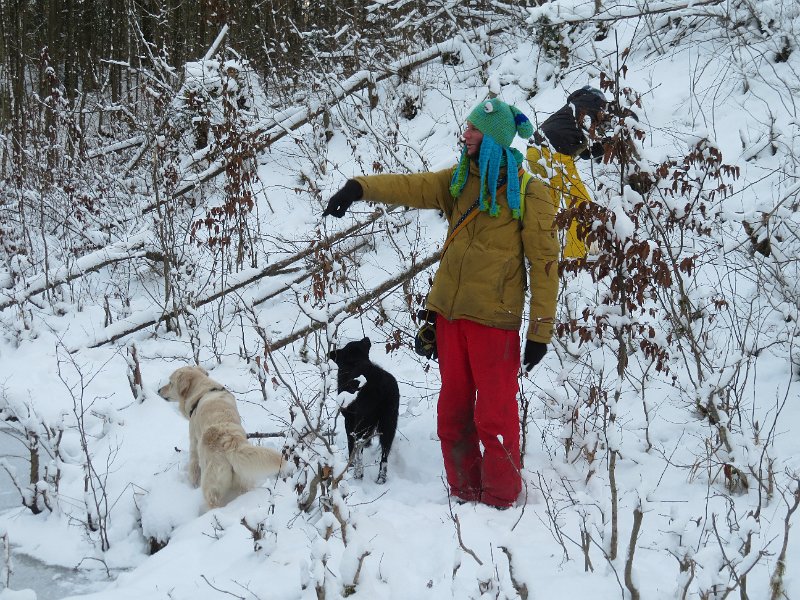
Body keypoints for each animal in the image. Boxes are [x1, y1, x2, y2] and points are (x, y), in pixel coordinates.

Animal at [158, 366, 282, 508]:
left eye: (170, 382)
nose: (158, 390)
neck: (202, 390)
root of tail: (230, 442)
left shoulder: (194, 442)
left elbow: (194, 467)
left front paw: (193, 484)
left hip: (212, 485)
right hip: (243, 479)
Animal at [328, 337, 399, 484]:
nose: (365, 338)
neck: (355, 361)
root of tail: (381, 384)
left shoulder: (349, 419)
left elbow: (351, 444)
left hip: (362, 420)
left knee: (358, 445)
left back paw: (358, 473)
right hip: (389, 421)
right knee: (385, 453)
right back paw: (381, 478)